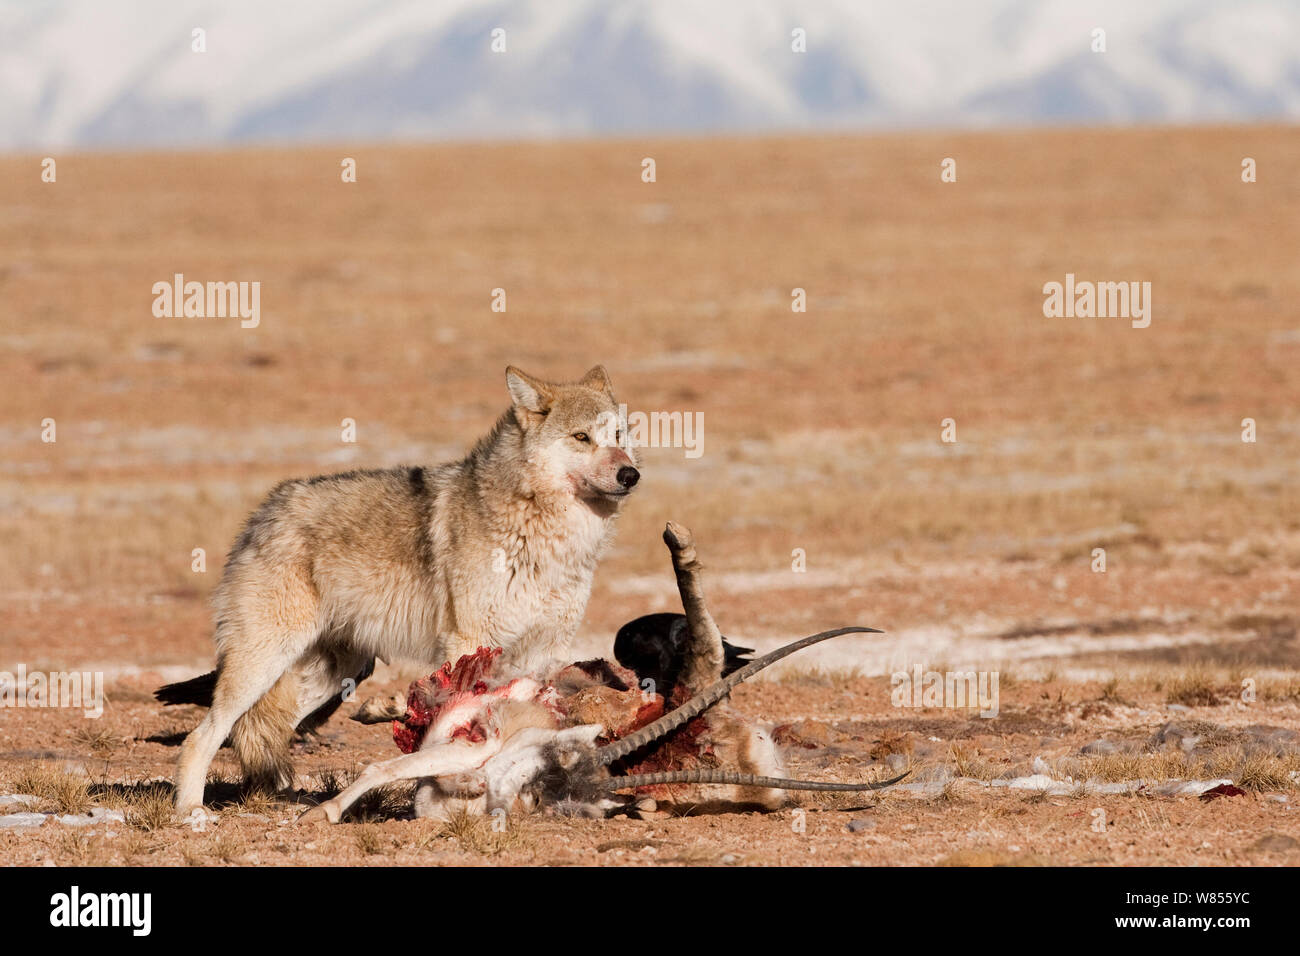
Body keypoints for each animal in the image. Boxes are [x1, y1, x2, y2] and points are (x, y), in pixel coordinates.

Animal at [171, 366, 639, 816]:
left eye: (619, 436)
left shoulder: (544, 652)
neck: (547, 533)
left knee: (262, 732)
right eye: (581, 437)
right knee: (204, 736)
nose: (631, 474)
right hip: (266, 662)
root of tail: (263, 512)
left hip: (334, 676)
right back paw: (192, 811)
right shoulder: (469, 644)